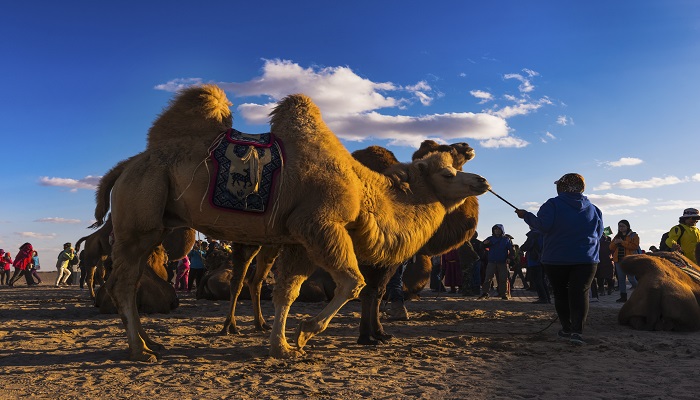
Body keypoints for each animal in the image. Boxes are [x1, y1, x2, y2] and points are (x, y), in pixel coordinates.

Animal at [95, 85, 490, 362]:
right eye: (447, 171)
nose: (482, 180)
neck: (363, 191)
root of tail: (124, 167)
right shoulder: (319, 224)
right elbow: (354, 282)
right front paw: (304, 333)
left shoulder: (300, 240)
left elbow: (288, 292)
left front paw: (282, 346)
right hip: (140, 215)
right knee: (125, 282)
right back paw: (140, 351)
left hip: (155, 224)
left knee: (130, 280)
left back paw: (151, 342)